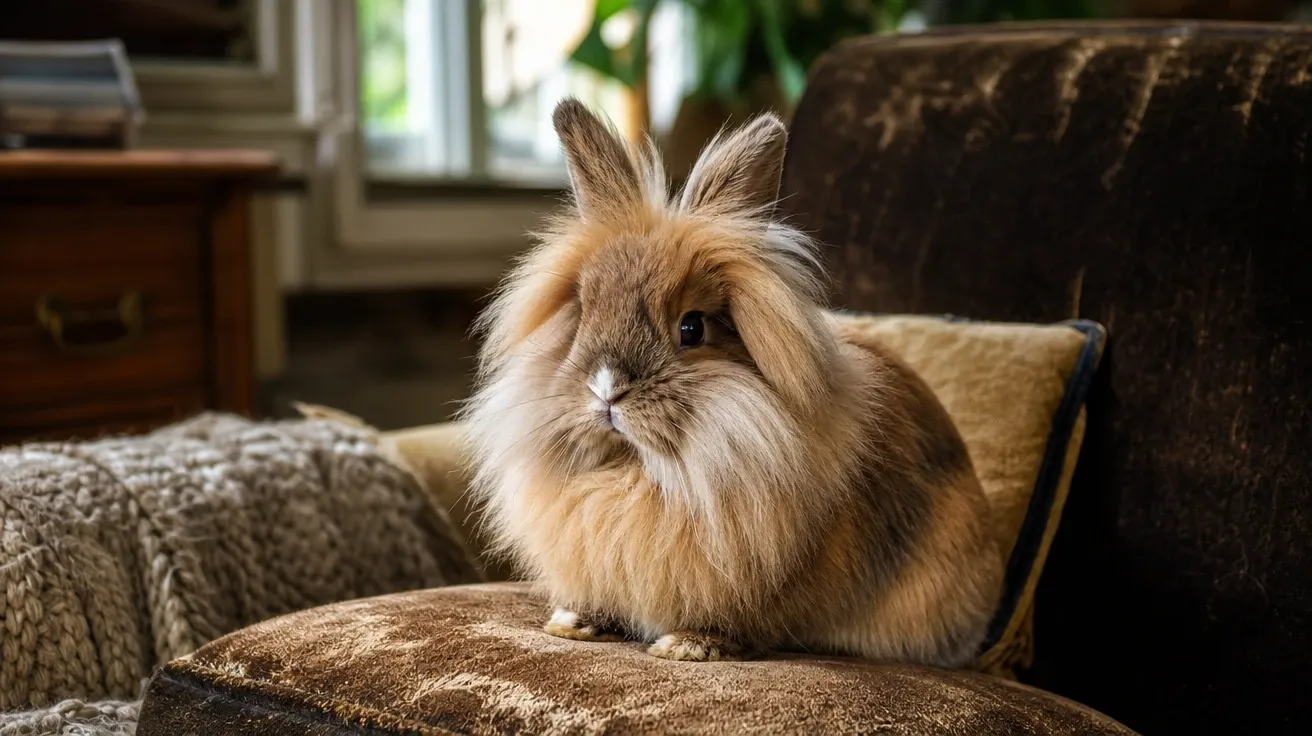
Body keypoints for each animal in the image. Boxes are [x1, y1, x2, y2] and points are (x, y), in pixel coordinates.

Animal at [462, 98, 1003, 667]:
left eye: (692, 328)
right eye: (585, 311)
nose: (606, 389)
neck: (643, 470)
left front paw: (689, 646)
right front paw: (573, 624)